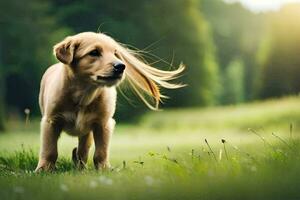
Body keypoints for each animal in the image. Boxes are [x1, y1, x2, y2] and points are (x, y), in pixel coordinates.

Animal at [35, 32, 185, 171]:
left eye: (115, 53)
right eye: (94, 52)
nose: (121, 66)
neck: (83, 96)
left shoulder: (103, 123)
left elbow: (101, 151)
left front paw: (104, 169)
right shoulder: (51, 121)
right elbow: (50, 150)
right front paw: (44, 169)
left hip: (86, 131)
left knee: (82, 151)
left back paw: (81, 168)